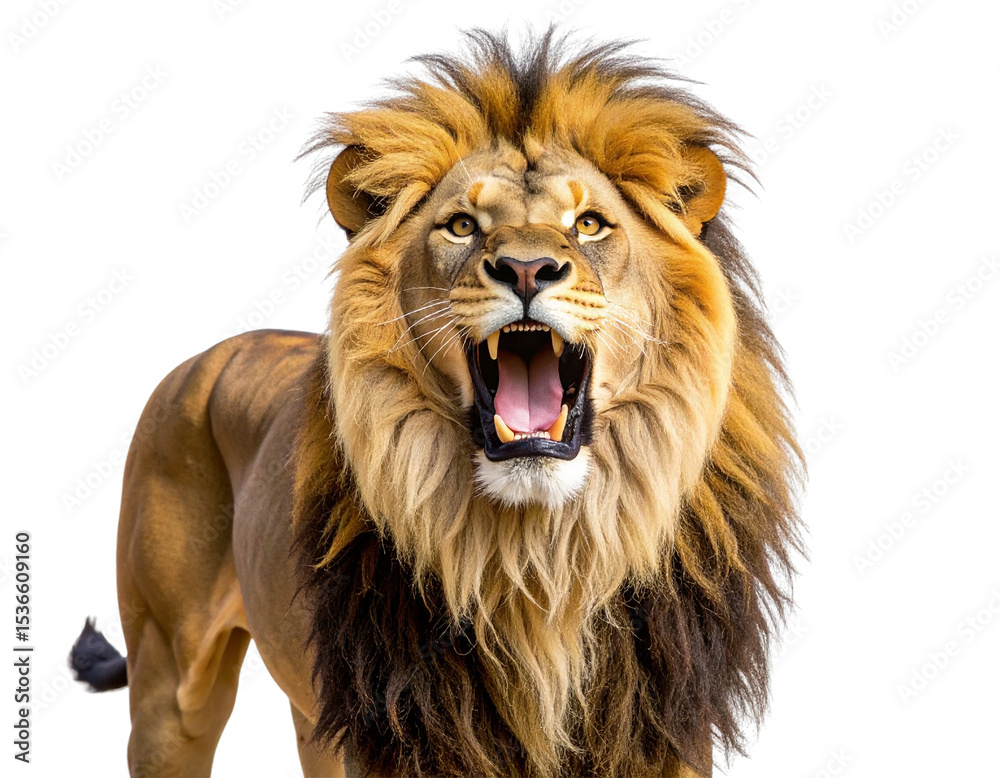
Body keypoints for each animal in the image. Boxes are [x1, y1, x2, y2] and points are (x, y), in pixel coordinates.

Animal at [71, 31, 802, 778]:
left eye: (591, 224)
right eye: (461, 226)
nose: (528, 269)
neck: (539, 556)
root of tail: (206, 355)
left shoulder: (663, 730)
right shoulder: (398, 731)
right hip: (171, 689)